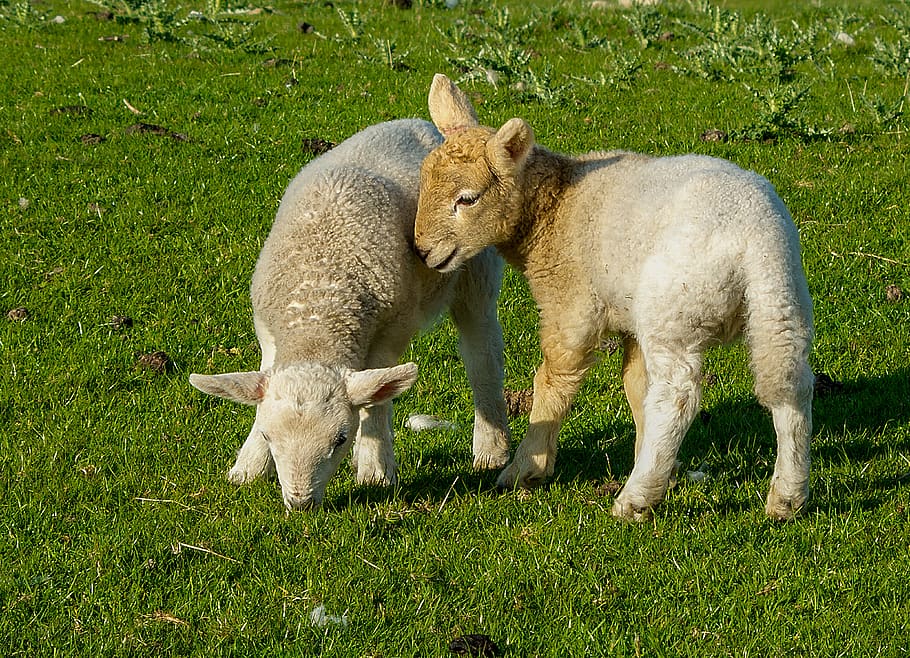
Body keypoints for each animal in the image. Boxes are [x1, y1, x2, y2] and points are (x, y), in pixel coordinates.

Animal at [190, 118, 510, 510]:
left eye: (339, 438)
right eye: (268, 435)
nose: (300, 504)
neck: (320, 307)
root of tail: (421, 125)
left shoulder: (392, 328)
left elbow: (378, 403)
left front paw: (375, 471)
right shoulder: (269, 332)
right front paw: (248, 467)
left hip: (475, 271)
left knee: (482, 354)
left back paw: (491, 450)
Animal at [413, 75, 814, 521]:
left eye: (467, 199)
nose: (422, 250)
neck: (553, 209)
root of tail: (754, 241)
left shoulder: (572, 304)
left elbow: (554, 379)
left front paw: (528, 467)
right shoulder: (630, 321)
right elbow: (636, 386)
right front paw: (657, 462)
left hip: (674, 309)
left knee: (678, 396)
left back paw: (636, 497)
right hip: (781, 303)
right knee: (790, 385)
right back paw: (787, 496)